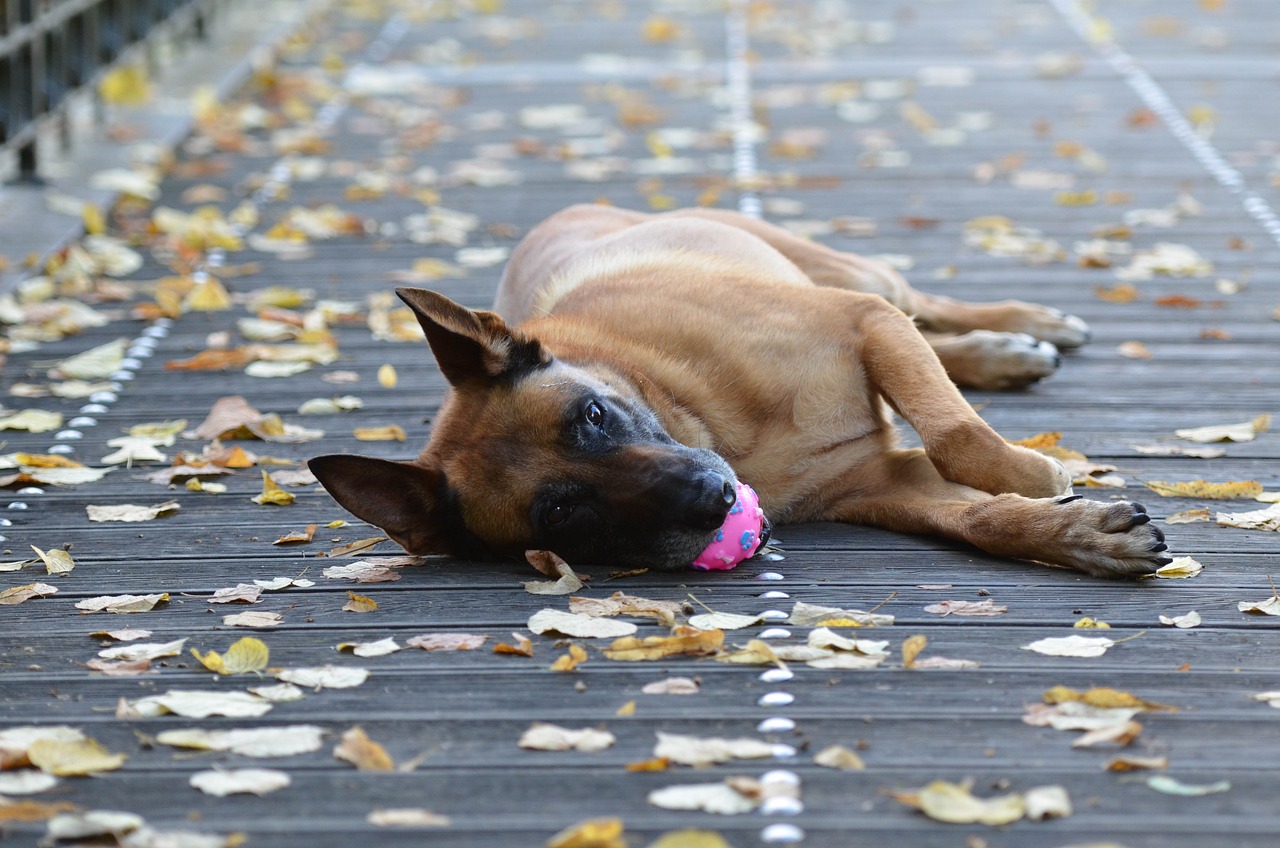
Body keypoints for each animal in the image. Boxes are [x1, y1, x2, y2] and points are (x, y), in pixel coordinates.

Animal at [309, 204, 1172, 578]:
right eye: (561, 513)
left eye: (592, 415)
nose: (712, 500)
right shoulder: (885, 484)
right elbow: (980, 518)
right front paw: (1079, 535)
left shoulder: (863, 322)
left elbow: (959, 435)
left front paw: (1031, 473)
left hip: (860, 279)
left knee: (920, 303)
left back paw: (1018, 330)